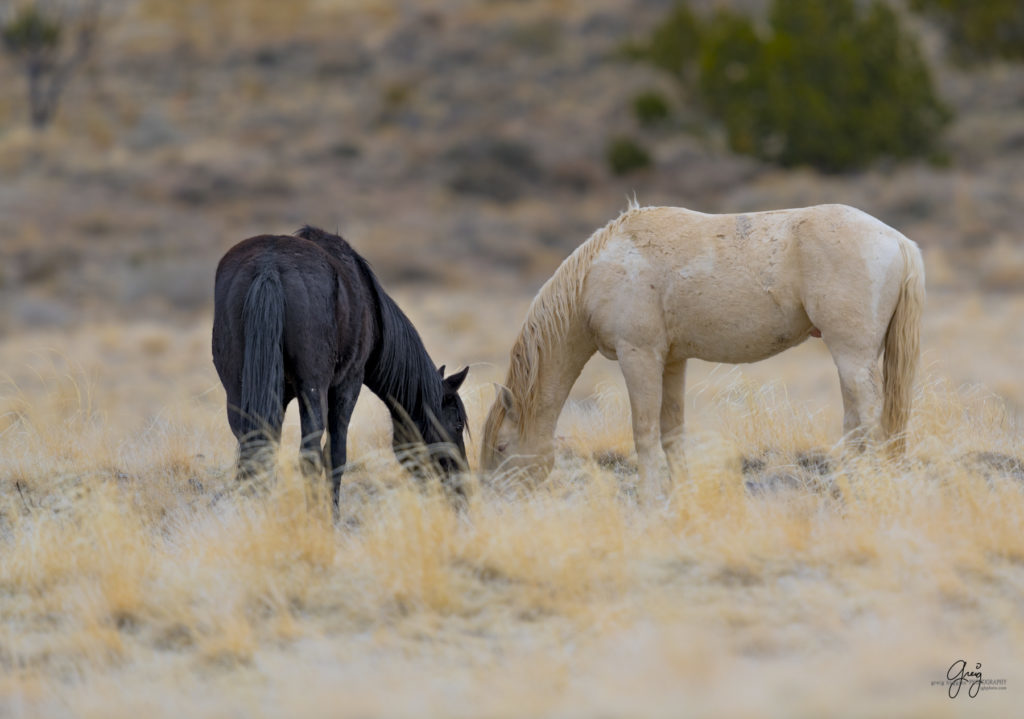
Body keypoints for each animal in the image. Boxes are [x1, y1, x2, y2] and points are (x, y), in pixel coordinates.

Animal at [211, 226, 468, 508]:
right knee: (309, 455)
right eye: (457, 425)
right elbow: (335, 456)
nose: (462, 484)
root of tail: (268, 268)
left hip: (238, 390)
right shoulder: (347, 385)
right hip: (313, 389)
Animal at [483, 202, 925, 503]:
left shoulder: (638, 355)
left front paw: (648, 501)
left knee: (869, 421)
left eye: (502, 447)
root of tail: (899, 241)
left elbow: (644, 431)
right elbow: (671, 433)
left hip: (852, 357)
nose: (495, 503)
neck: (598, 271)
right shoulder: (672, 361)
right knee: (856, 423)